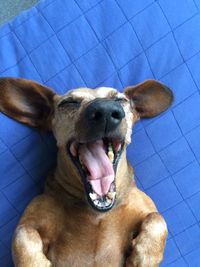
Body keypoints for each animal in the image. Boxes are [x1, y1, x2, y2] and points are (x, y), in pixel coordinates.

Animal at [0, 77, 173, 266]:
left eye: (120, 100)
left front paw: (145, 256)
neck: (97, 212)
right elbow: (22, 234)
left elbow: (158, 219)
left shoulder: (146, 208)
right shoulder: (32, 218)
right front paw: (34, 262)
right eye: (68, 103)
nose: (105, 110)